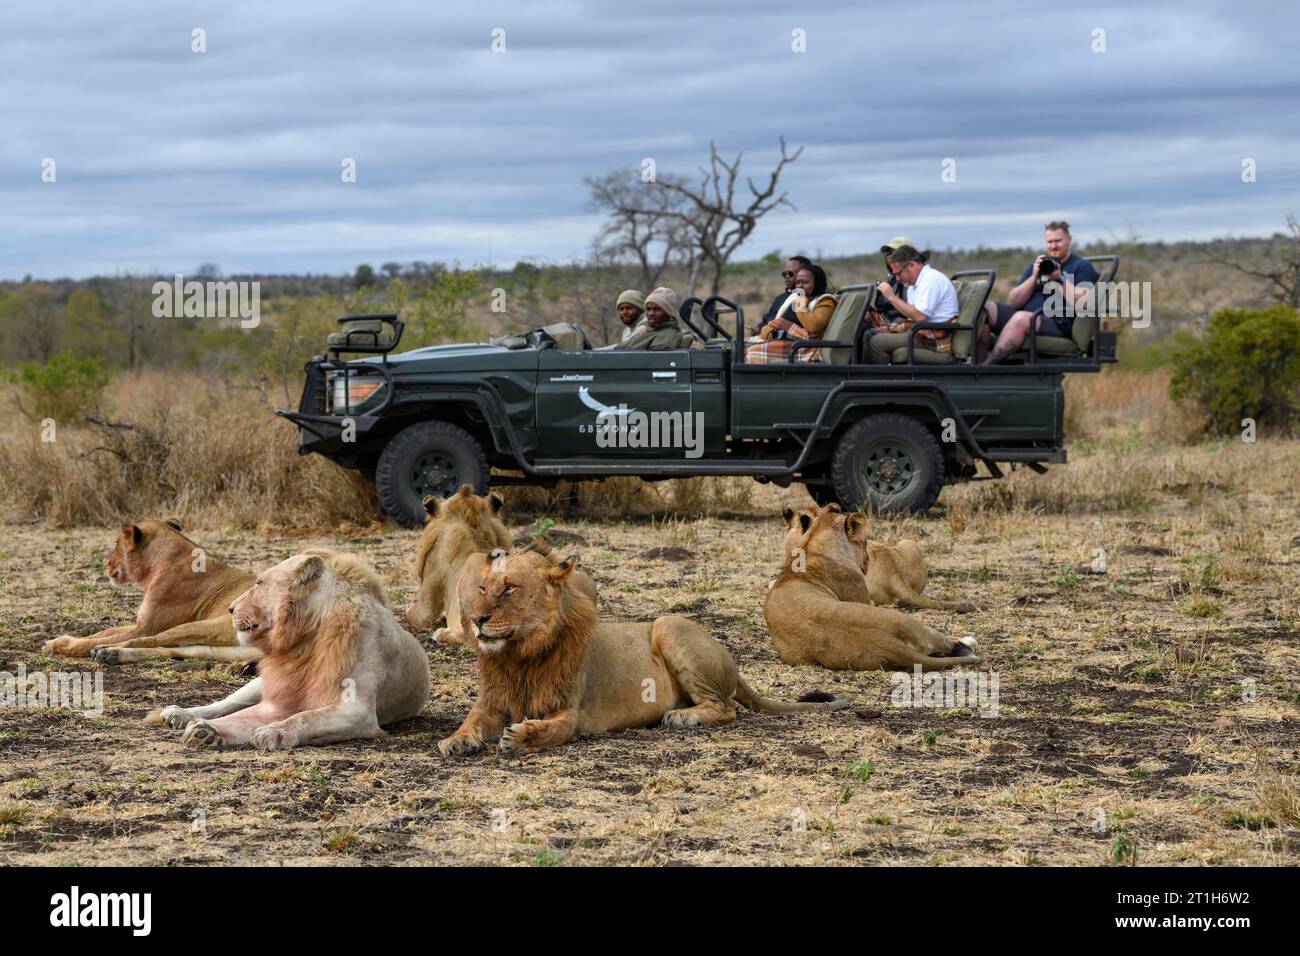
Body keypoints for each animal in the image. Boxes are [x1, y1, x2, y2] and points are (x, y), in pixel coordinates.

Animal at [41, 520, 258, 660]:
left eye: (116, 544)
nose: (105, 563)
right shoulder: (140, 623)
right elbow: (106, 630)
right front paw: (62, 638)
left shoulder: (146, 626)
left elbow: (97, 640)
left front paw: (58, 644)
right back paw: (109, 653)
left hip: (206, 625)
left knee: (148, 640)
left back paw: (103, 650)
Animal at [151, 548, 426, 749]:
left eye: (259, 583)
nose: (230, 608)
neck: (306, 637)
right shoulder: (277, 700)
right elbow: (239, 716)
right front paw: (205, 730)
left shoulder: (357, 710)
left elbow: (305, 717)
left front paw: (274, 732)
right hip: (259, 683)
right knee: (227, 703)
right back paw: (180, 714)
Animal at [431, 548, 847, 759]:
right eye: (483, 587)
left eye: (509, 588)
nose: (475, 620)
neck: (519, 655)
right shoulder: (492, 702)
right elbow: (470, 720)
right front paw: (456, 740)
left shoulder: (572, 713)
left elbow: (551, 730)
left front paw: (520, 737)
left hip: (667, 625)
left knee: (726, 707)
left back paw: (682, 717)